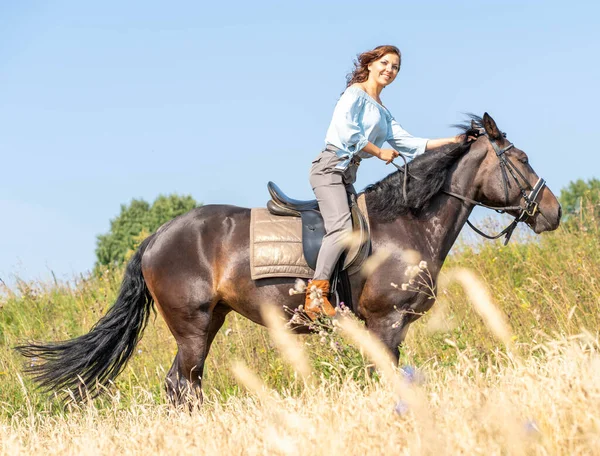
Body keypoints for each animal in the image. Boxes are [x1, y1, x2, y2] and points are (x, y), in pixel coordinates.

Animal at [18, 113, 564, 402]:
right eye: (520, 159)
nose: (553, 211)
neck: (406, 225)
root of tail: (155, 237)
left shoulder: (387, 328)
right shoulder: (386, 322)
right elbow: (384, 378)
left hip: (208, 322)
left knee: (182, 385)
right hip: (192, 326)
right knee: (183, 385)